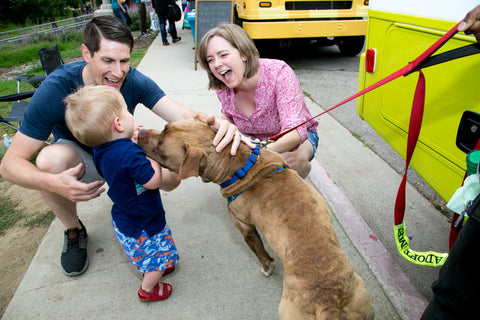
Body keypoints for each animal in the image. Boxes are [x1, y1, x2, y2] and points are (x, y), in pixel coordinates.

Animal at [138, 118, 376, 320]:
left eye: (161, 148)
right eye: (165, 126)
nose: (139, 131)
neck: (238, 165)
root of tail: (328, 302)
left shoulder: (245, 228)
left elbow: (260, 253)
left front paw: (267, 266)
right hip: (363, 300)